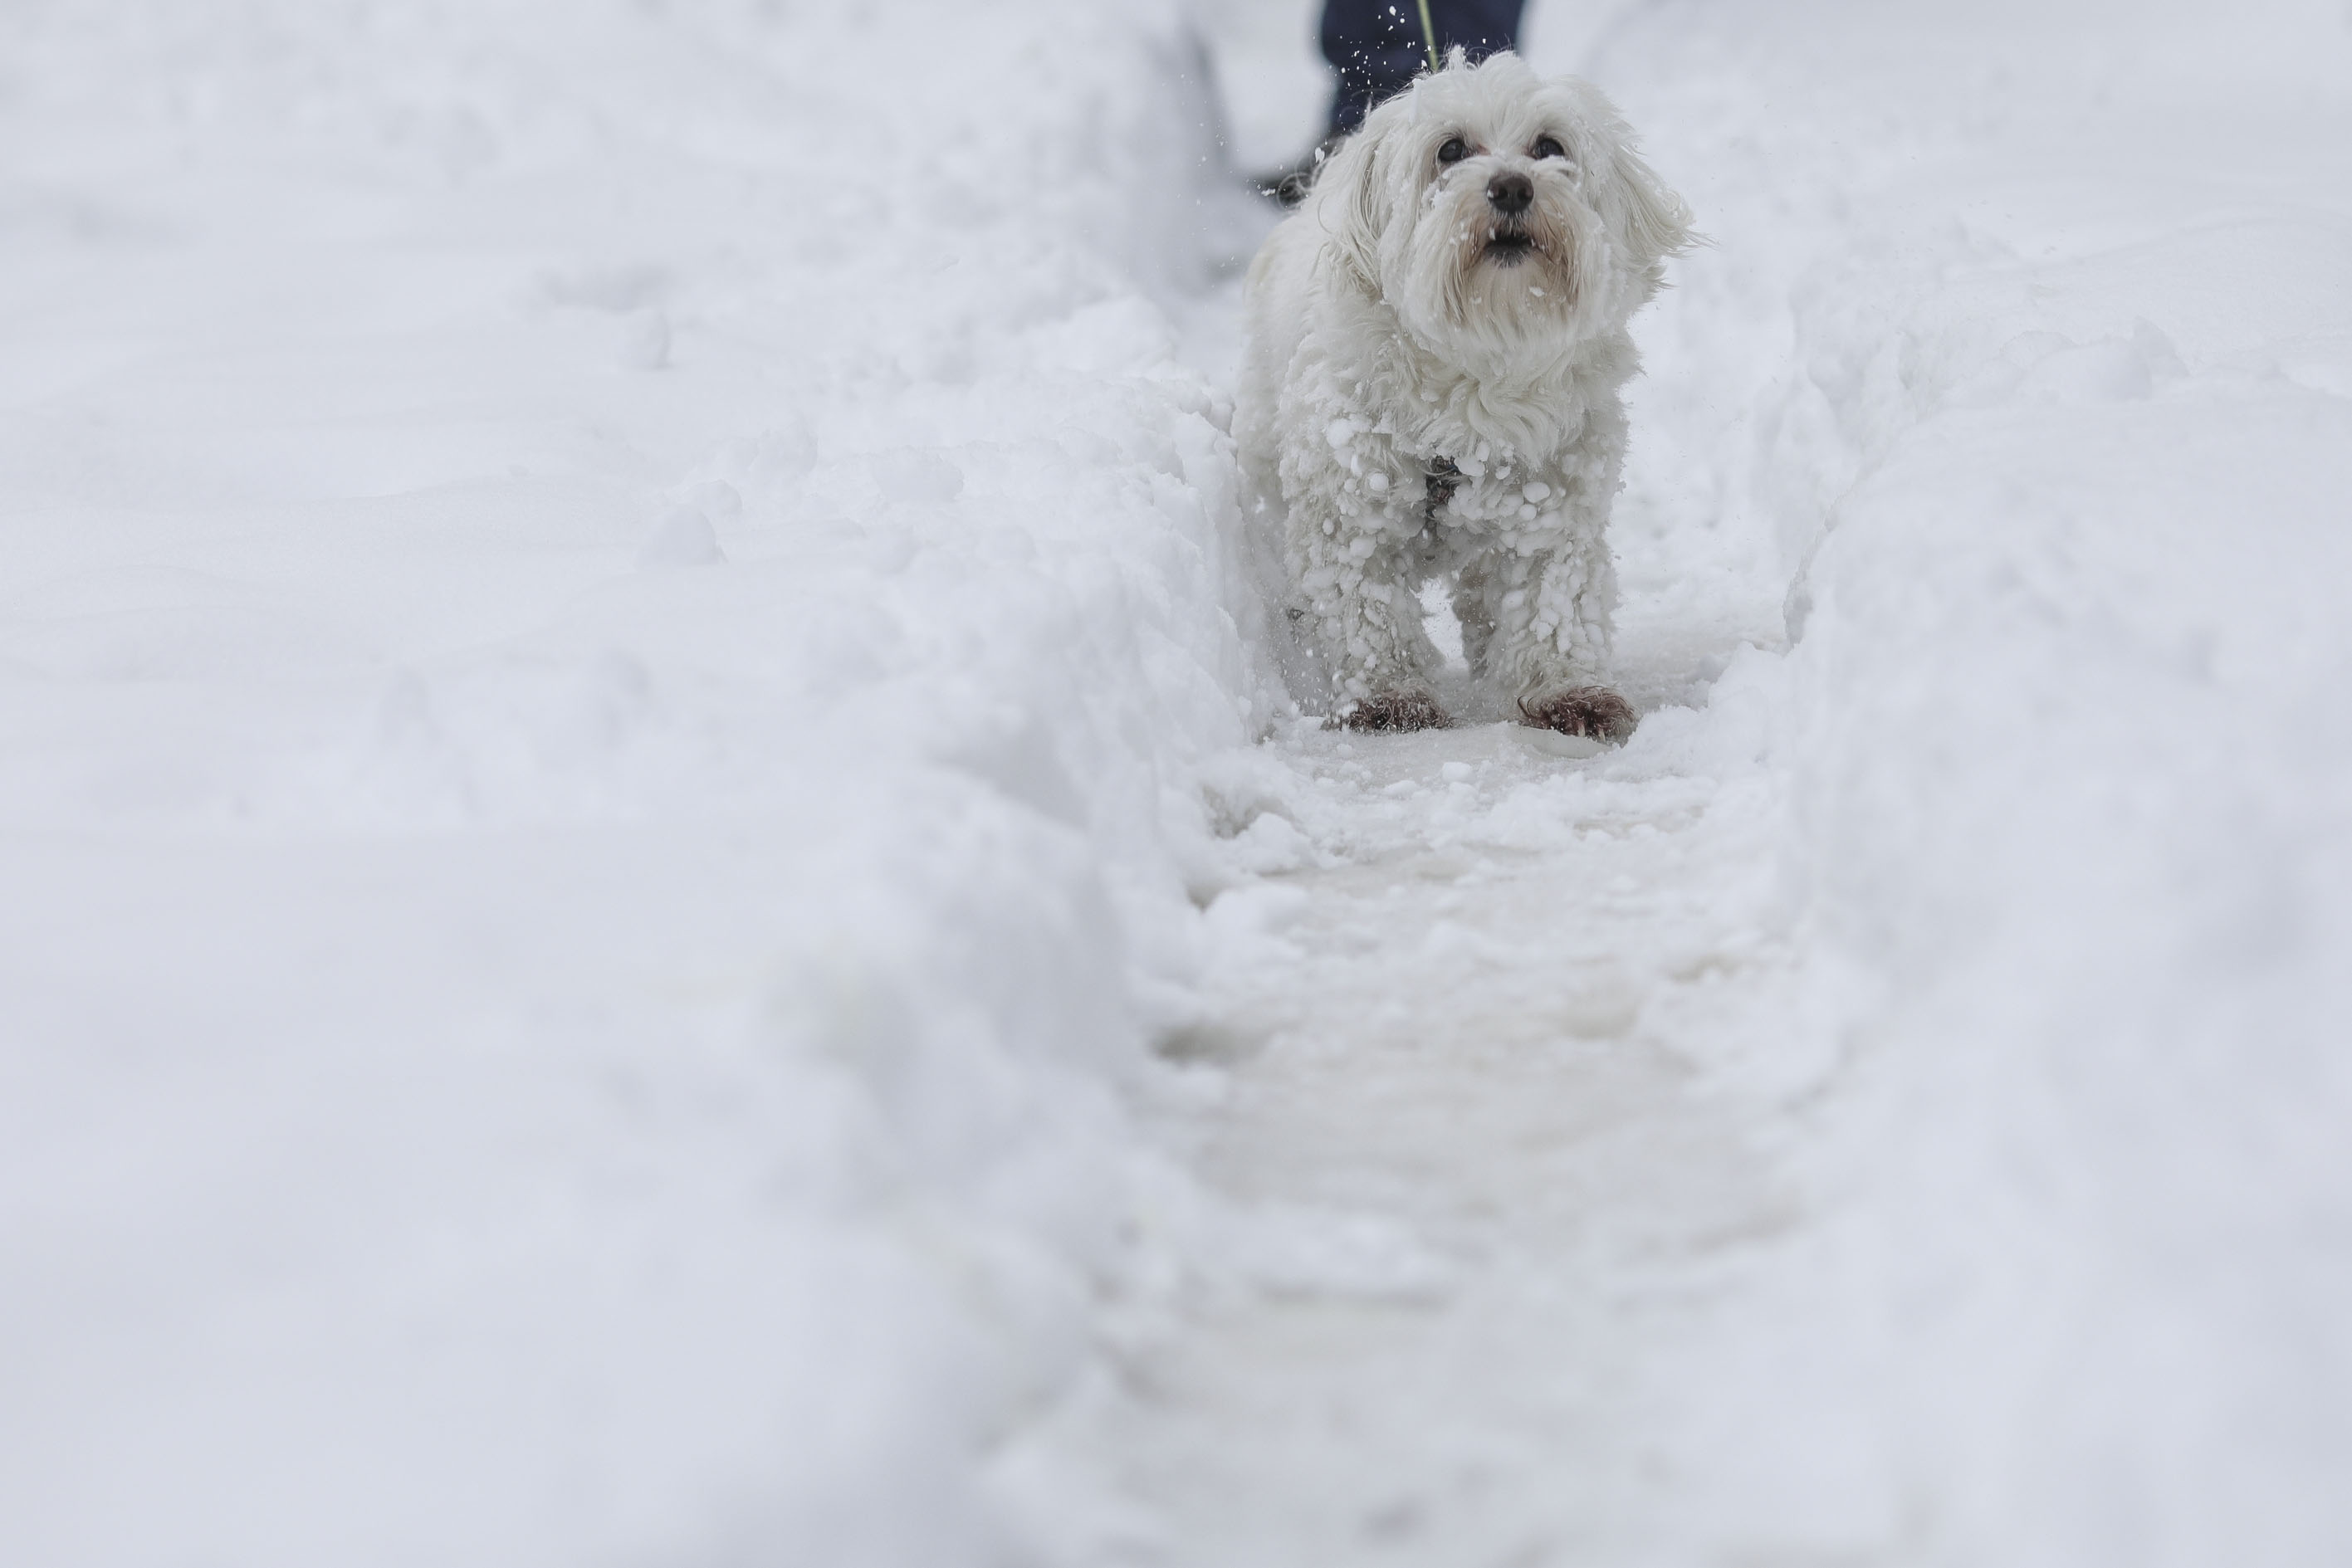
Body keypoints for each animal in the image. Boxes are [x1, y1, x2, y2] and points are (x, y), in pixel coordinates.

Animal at [1232, 49, 1693, 738]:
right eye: (1449, 150)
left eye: (1548, 146)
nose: (1512, 186)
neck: (1478, 369)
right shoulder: (1349, 503)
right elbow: (1363, 601)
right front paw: (1387, 696)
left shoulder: (1554, 498)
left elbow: (1551, 595)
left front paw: (1563, 689)